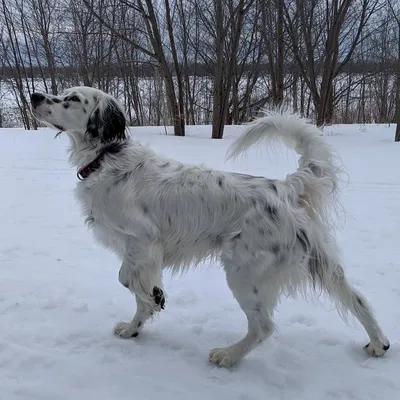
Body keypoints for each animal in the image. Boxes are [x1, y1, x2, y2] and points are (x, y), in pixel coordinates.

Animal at [29, 86, 390, 368]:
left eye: (72, 99)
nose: (34, 96)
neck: (107, 158)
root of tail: (283, 188)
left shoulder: (143, 240)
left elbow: (129, 281)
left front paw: (154, 300)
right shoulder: (138, 251)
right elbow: (136, 288)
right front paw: (135, 327)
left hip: (244, 271)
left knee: (263, 326)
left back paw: (228, 356)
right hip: (320, 263)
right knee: (357, 298)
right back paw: (379, 343)